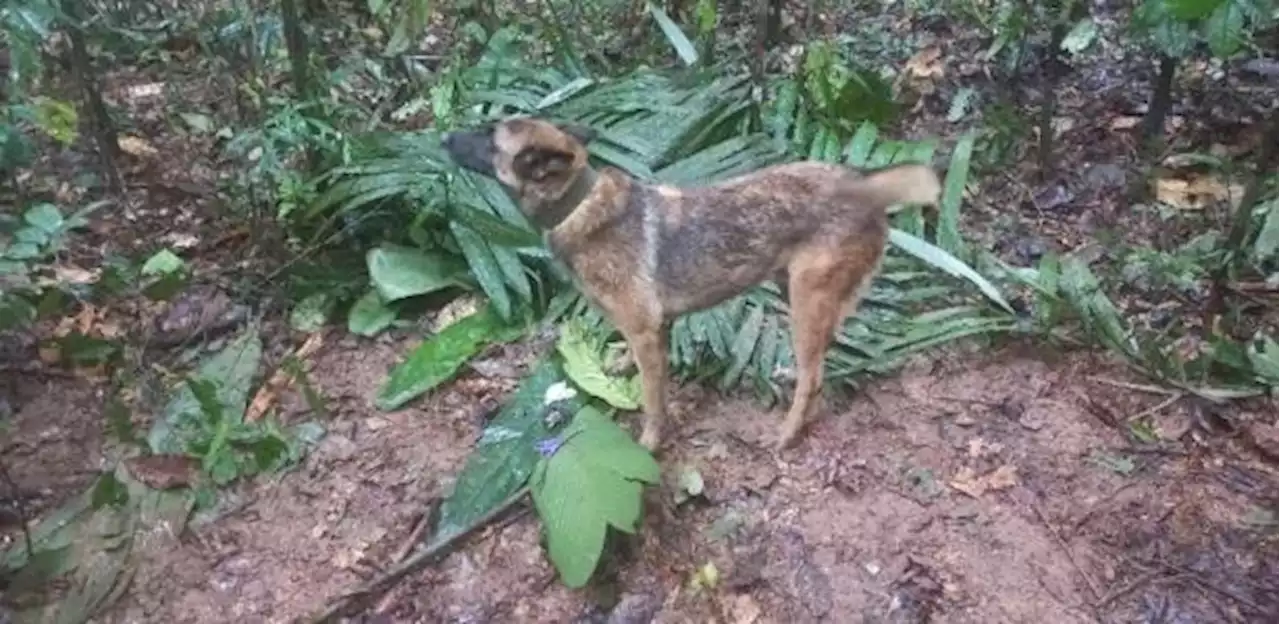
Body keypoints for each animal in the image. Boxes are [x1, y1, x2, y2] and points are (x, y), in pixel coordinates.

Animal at [445, 117, 947, 450]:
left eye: (488, 137)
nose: (443, 135)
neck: (577, 204)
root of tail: (862, 185)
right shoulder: (653, 328)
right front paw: (620, 365)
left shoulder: (647, 331)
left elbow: (653, 400)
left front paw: (649, 443)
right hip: (795, 290)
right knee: (824, 353)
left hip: (807, 298)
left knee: (815, 375)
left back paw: (787, 432)